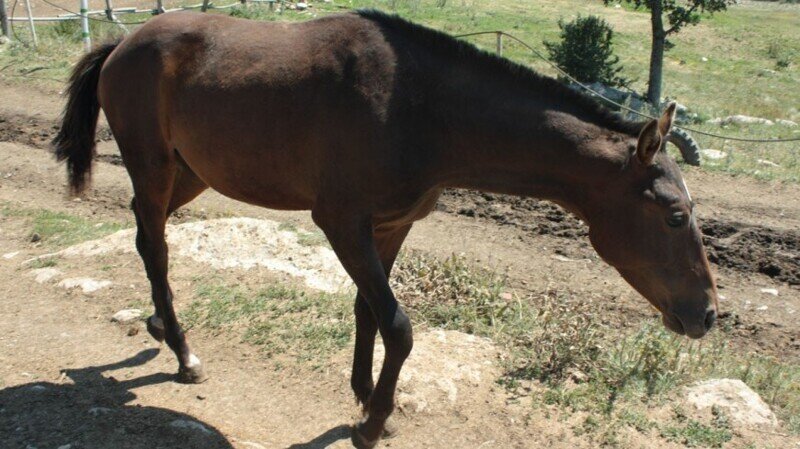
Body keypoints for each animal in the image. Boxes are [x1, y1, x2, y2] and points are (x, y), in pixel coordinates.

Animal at [51, 8, 720, 446]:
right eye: (675, 214)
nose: (708, 315)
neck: (419, 107)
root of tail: (123, 42)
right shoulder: (341, 223)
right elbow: (399, 325)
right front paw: (371, 422)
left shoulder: (391, 226)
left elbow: (368, 311)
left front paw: (365, 392)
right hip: (153, 167)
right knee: (155, 246)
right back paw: (184, 351)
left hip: (191, 172)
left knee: (150, 239)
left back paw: (160, 327)